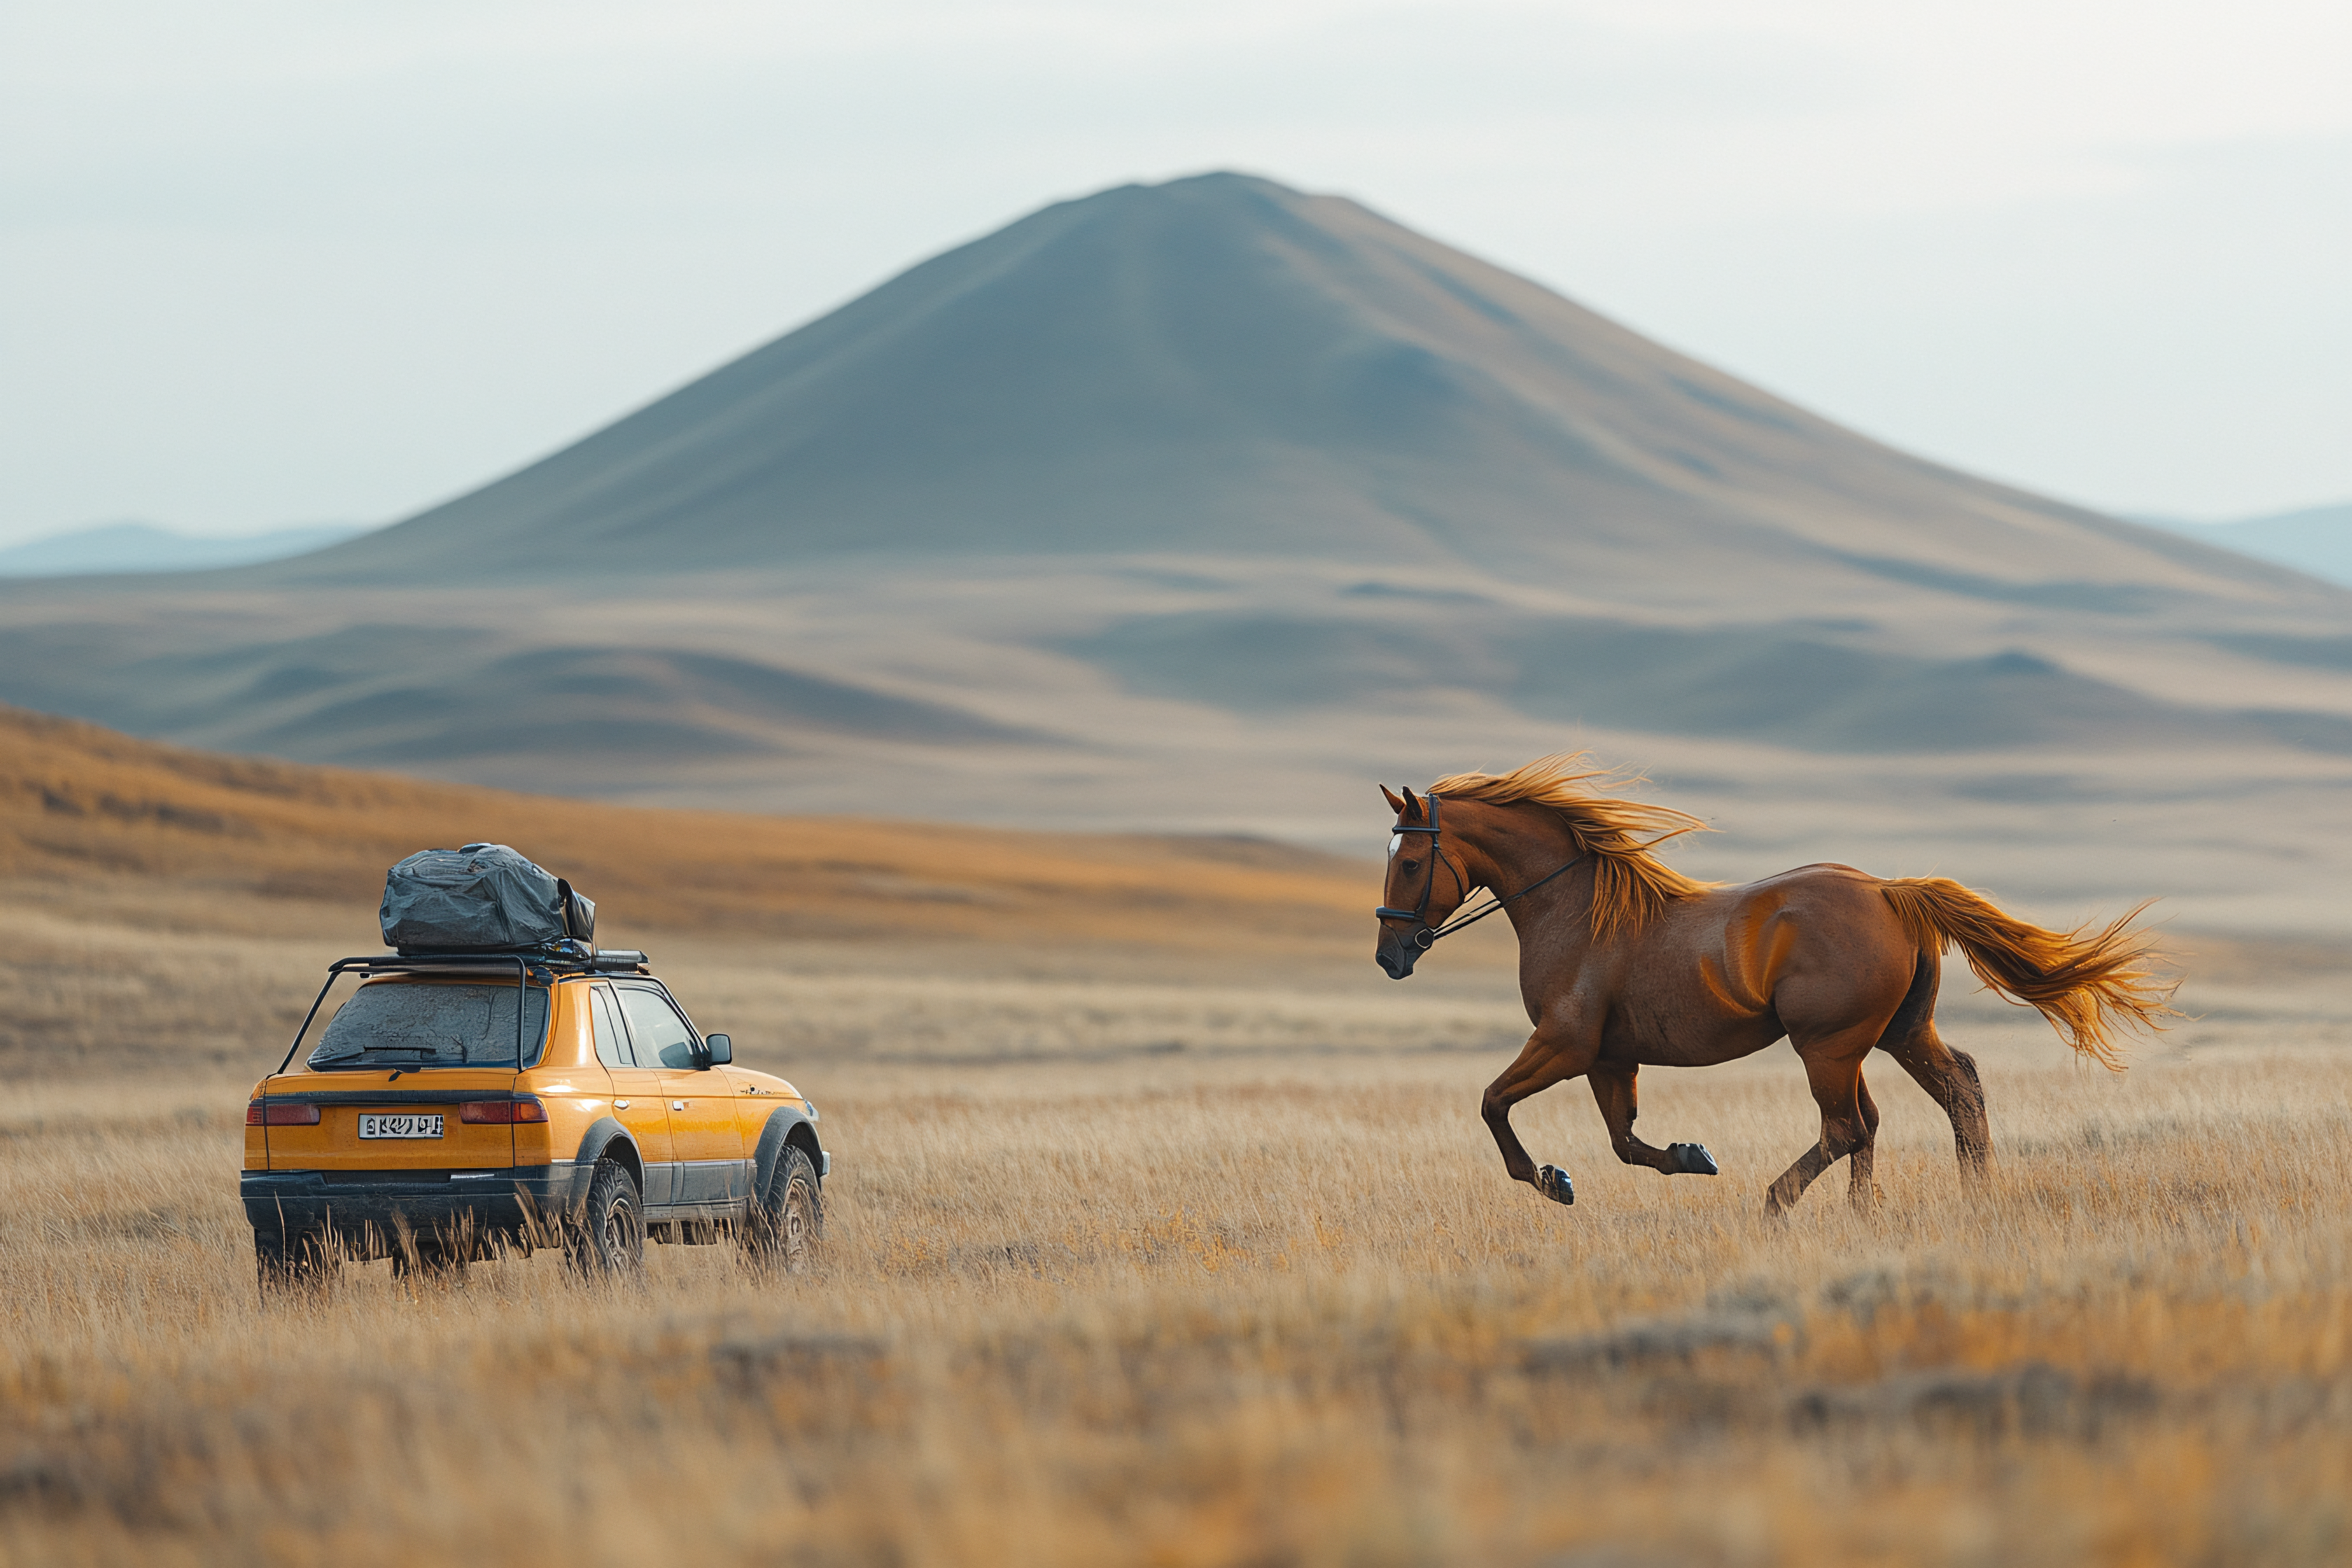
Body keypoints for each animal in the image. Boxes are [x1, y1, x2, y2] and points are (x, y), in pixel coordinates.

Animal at [1373, 754, 2173, 1216]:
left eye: (1410, 864)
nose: (1390, 956)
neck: (1574, 910)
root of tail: (1890, 892)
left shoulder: (1565, 1044)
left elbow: (1494, 1103)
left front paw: (1551, 1180)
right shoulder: (1608, 1056)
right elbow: (1626, 1142)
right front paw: (1688, 1156)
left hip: (1828, 1045)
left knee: (1850, 1127)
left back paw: (1780, 1201)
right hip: (1895, 1034)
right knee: (1947, 1093)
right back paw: (1927, 1202)